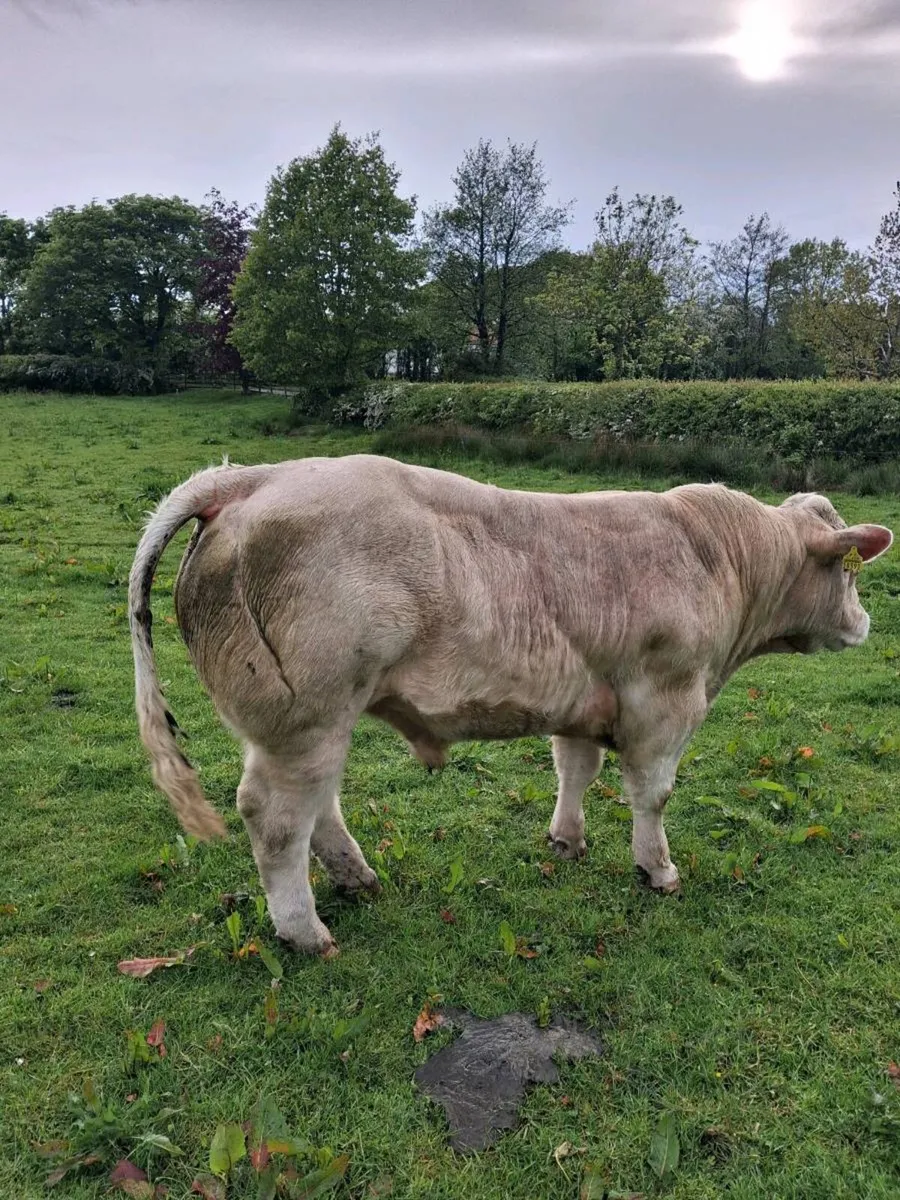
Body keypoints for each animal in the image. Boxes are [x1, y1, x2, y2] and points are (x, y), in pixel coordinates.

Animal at [129, 455, 892, 956]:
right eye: (850, 573)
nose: (864, 624)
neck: (717, 558)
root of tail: (249, 477)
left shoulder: (587, 695)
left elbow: (575, 769)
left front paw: (568, 840)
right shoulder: (665, 700)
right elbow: (653, 794)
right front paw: (658, 870)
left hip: (307, 724)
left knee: (319, 810)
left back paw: (359, 879)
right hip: (304, 716)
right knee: (277, 817)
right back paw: (305, 931)